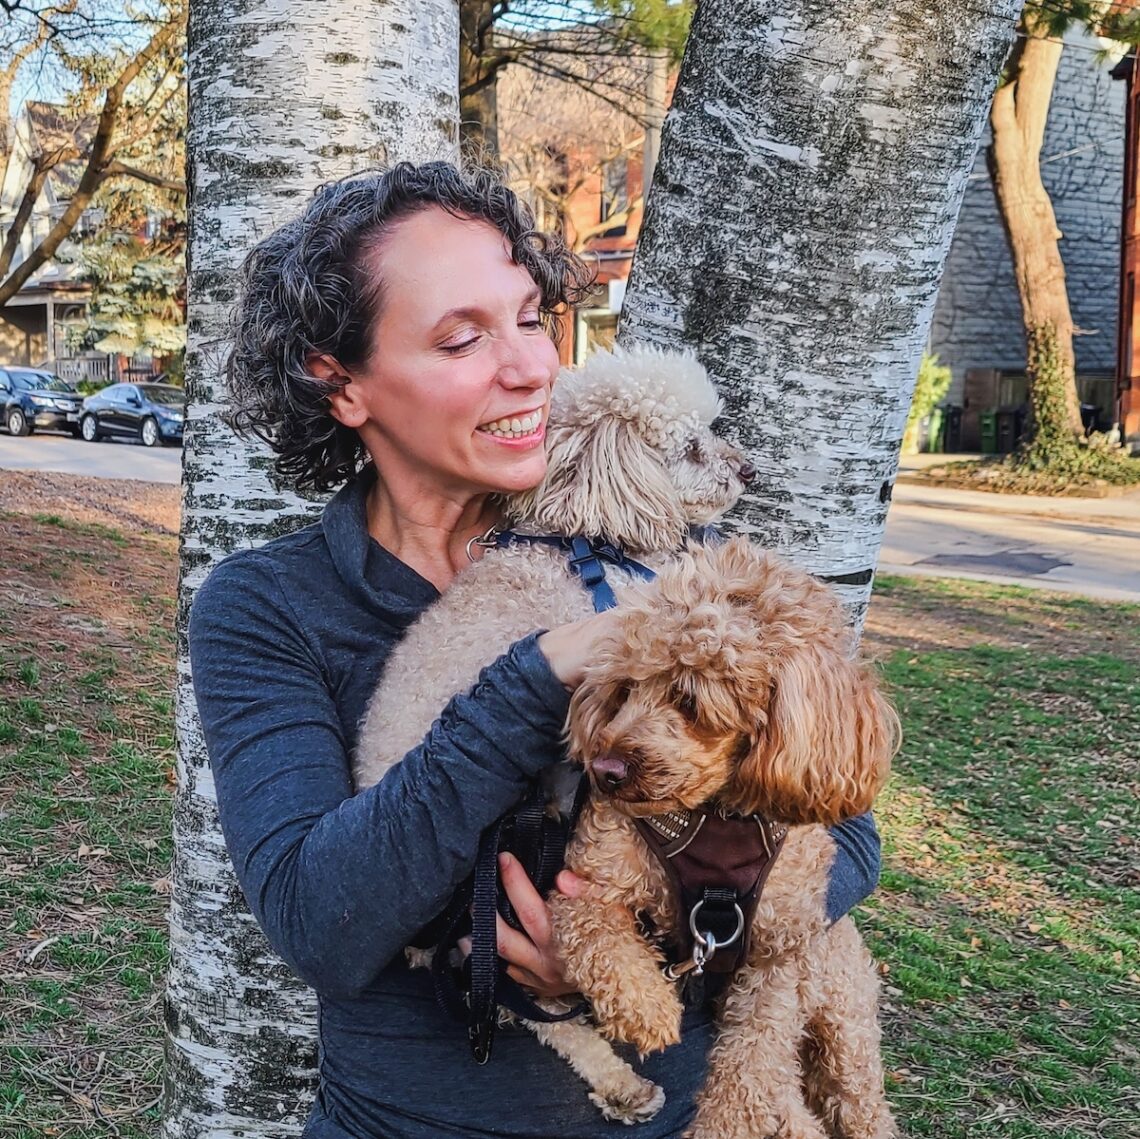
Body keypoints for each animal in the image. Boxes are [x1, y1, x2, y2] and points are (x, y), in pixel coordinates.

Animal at [549, 535, 898, 1139]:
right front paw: (648, 1009)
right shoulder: (591, 881)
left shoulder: (777, 959)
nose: (606, 771)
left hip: (846, 1030)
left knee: (861, 1107)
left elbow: (751, 1065)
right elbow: (598, 938)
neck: (716, 819)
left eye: (689, 698)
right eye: (624, 689)